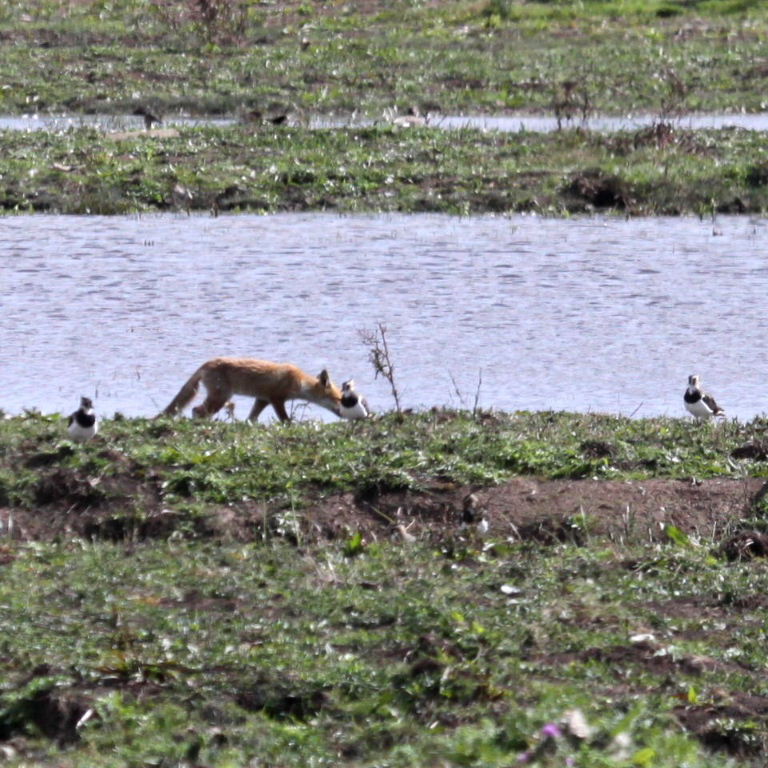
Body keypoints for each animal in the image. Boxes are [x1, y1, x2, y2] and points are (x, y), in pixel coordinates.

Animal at [161, 357, 343, 422]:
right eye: (339, 400)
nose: (344, 413)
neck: (298, 382)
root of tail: (207, 363)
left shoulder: (262, 399)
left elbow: (251, 418)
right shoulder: (276, 399)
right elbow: (286, 420)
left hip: (220, 398)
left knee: (196, 410)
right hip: (220, 398)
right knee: (196, 410)